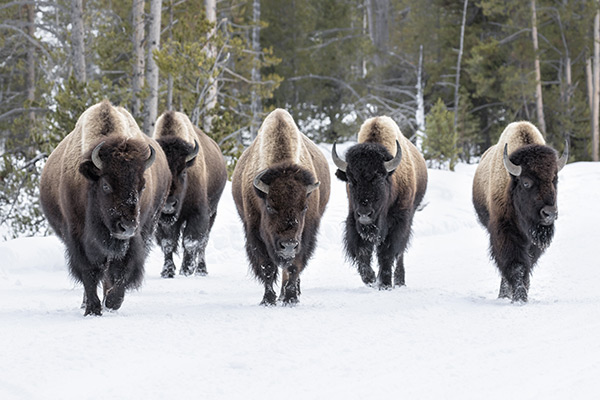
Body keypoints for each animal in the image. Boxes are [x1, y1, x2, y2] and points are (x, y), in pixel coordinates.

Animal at [39, 101, 171, 316]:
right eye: (106, 185)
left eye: (142, 186)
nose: (127, 227)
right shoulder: (77, 237)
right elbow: (89, 272)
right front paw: (93, 308)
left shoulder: (134, 239)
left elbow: (122, 270)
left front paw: (112, 302)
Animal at [152, 111, 227, 276]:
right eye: (161, 173)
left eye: (184, 171)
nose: (169, 205)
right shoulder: (161, 220)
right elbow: (168, 242)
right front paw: (167, 271)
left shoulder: (198, 214)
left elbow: (191, 242)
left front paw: (186, 269)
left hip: (213, 213)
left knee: (203, 243)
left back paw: (201, 270)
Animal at [231, 108, 332, 304]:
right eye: (270, 207)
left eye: (304, 207)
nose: (288, 246)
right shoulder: (255, 233)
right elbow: (267, 267)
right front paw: (268, 300)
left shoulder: (304, 236)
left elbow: (293, 267)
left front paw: (291, 298)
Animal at [330, 115, 428, 288]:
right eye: (351, 181)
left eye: (379, 178)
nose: (365, 214)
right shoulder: (354, 220)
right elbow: (362, 252)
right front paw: (370, 278)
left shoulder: (398, 222)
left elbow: (387, 253)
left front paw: (385, 283)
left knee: (400, 253)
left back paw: (399, 281)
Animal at [474, 120, 568, 302]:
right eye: (526, 182)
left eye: (554, 180)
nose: (550, 214)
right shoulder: (505, 232)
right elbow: (516, 265)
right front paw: (519, 297)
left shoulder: (534, 242)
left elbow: (527, 264)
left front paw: (523, 292)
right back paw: (504, 294)